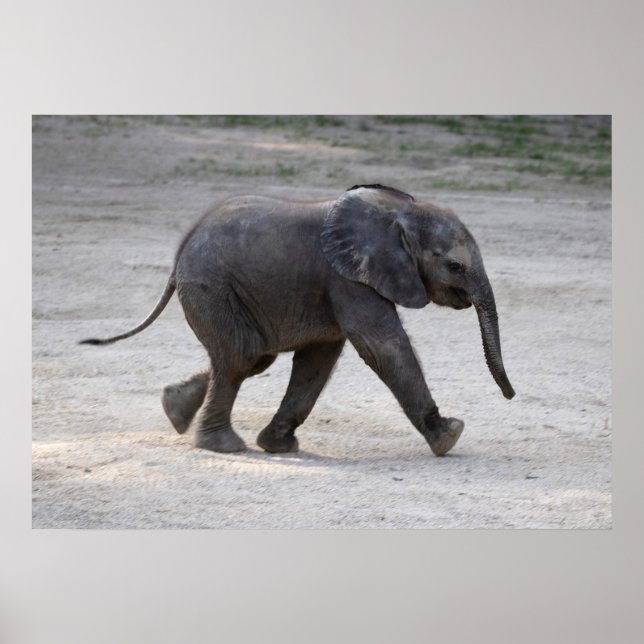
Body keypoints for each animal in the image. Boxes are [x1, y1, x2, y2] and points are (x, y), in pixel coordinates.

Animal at [81, 184, 514, 456]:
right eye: (455, 266)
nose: (511, 396)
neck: (400, 212)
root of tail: (179, 254)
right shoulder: (347, 278)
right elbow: (382, 346)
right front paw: (449, 437)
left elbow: (318, 360)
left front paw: (279, 446)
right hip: (211, 286)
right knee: (242, 356)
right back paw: (223, 446)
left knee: (251, 358)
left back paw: (174, 408)